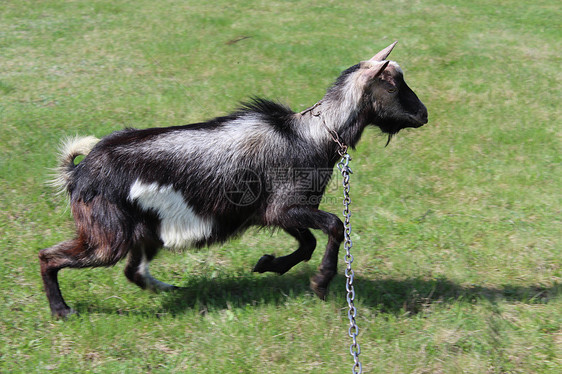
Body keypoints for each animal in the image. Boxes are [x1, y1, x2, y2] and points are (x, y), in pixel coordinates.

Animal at [39, 42, 426, 318]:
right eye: (394, 85)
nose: (423, 114)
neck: (311, 136)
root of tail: (79, 171)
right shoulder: (285, 208)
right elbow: (334, 226)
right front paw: (320, 282)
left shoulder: (279, 212)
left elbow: (308, 243)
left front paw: (268, 264)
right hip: (107, 236)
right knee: (49, 257)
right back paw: (62, 311)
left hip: (144, 232)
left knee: (133, 271)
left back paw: (169, 290)